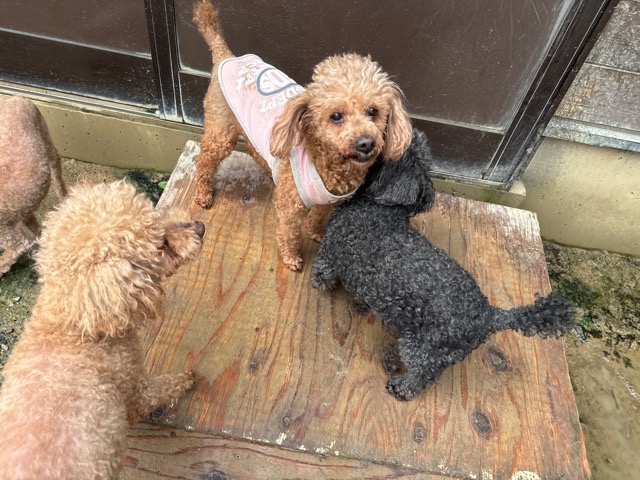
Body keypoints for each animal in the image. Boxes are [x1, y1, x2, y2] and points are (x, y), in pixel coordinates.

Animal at [0, 181, 204, 479]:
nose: (200, 227)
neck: (73, 326)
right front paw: (187, 378)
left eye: (155, 217)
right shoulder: (134, 390)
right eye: (161, 245)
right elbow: (160, 389)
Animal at [192, 0, 412, 271]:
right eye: (336, 116)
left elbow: (318, 216)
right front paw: (291, 258)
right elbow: (289, 232)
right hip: (220, 130)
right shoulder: (290, 207)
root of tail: (226, 56)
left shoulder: (328, 201)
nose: (366, 143)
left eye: (373, 111)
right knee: (204, 162)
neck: (327, 162)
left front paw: (314, 231)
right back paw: (203, 194)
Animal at [311, 130, 576, 401]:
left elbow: (323, 270)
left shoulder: (331, 250)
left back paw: (402, 387)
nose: (368, 141)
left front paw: (317, 284)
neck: (381, 209)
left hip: (422, 349)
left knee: (423, 375)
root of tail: (490, 316)